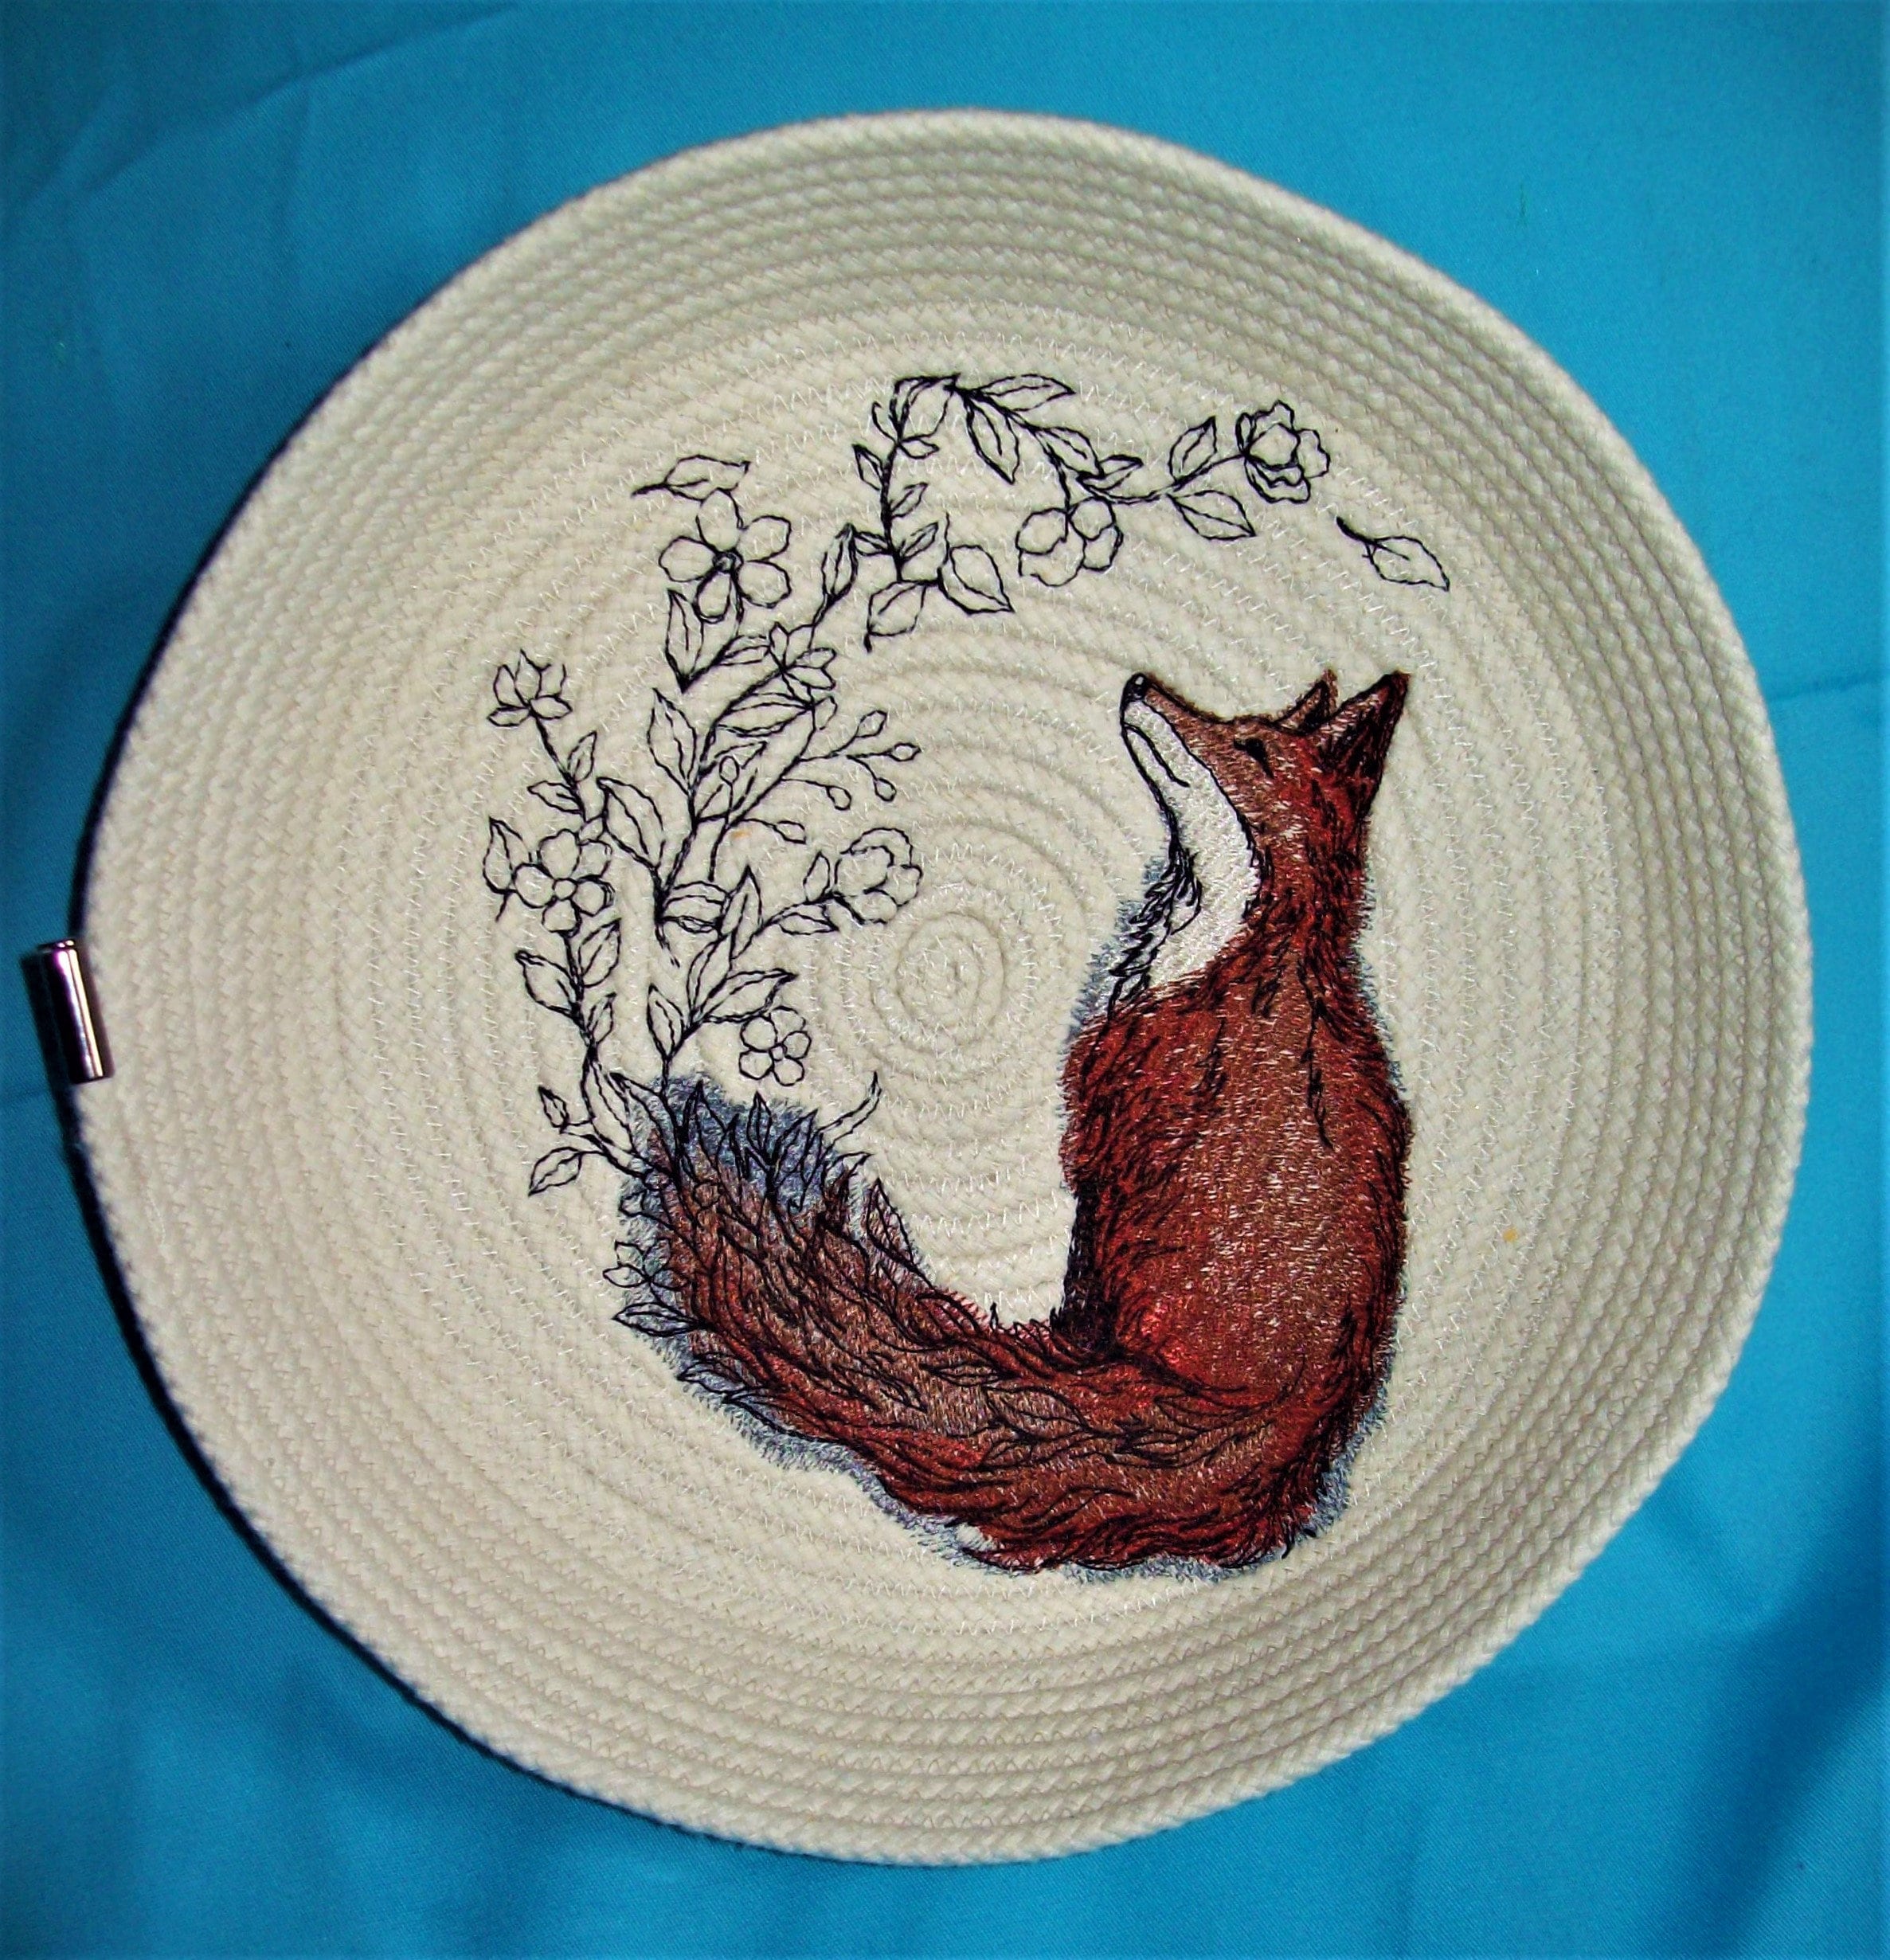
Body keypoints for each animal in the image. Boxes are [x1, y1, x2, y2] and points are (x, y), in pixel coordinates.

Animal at [618, 669, 1411, 1571]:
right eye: (1238, 720)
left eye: (1248, 745)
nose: (1141, 681)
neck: (1230, 950)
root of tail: (1289, 1415)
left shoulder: (1116, 1137)